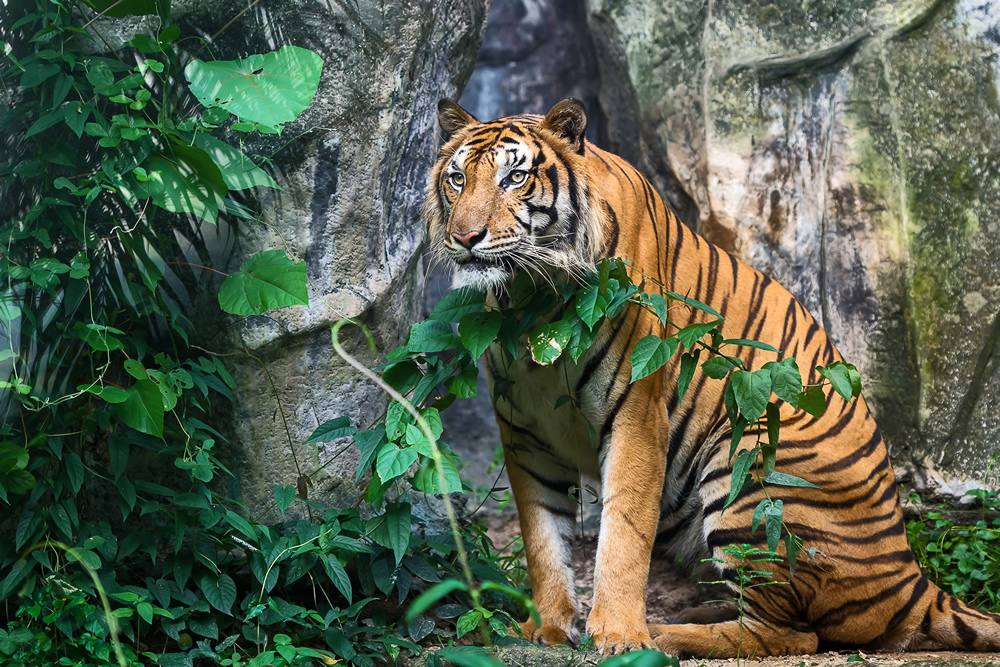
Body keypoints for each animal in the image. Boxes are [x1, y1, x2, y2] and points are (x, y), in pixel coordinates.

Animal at [423, 97, 1000, 657]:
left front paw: (618, 636)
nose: (465, 237)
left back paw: (666, 634)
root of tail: (912, 580)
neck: (533, 302)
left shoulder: (636, 417)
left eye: (515, 178)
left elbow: (623, 533)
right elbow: (543, 538)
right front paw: (544, 628)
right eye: (457, 178)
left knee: (789, 634)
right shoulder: (525, 434)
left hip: (747, 468)